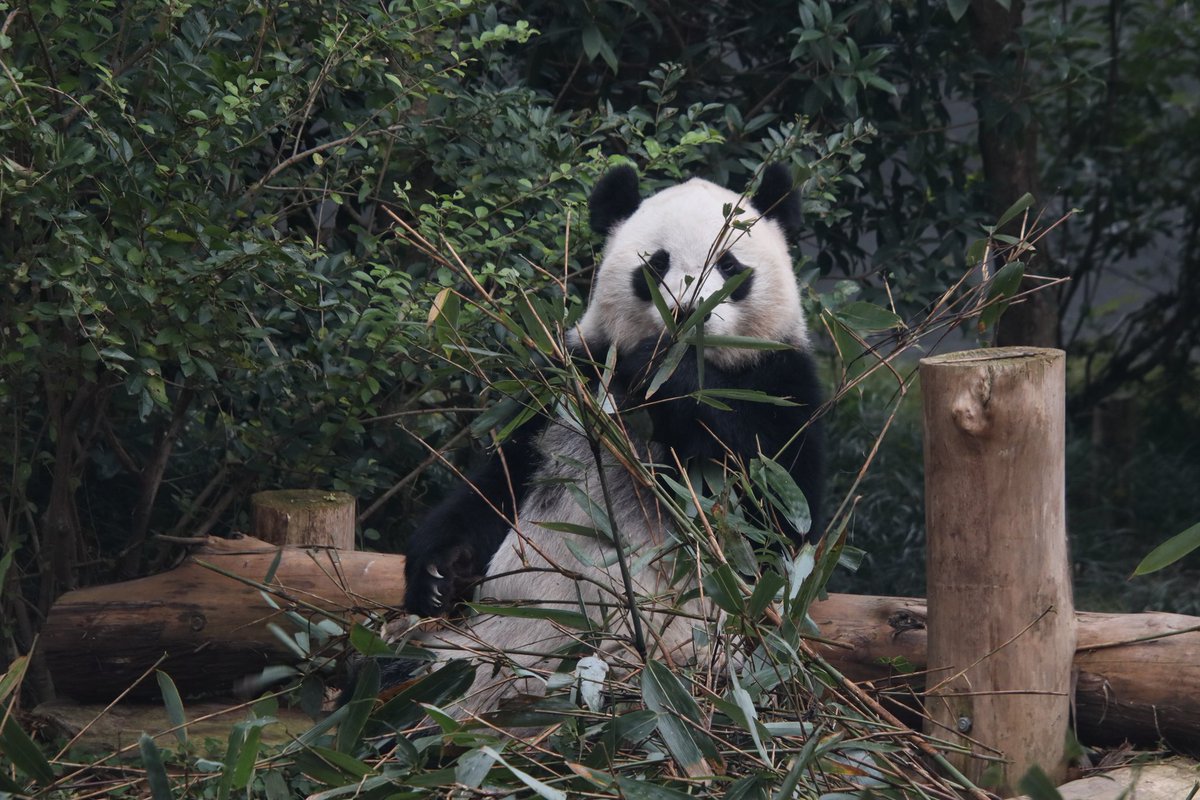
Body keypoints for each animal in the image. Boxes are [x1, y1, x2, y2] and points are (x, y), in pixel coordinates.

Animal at [396, 163, 824, 717]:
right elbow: (497, 485)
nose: (687, 312)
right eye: (656, 265)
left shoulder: (783, 382)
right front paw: (436, 576)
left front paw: (669, 375)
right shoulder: (565, 385)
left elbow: (778, 518)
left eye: (730, 266)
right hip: (464, 649)